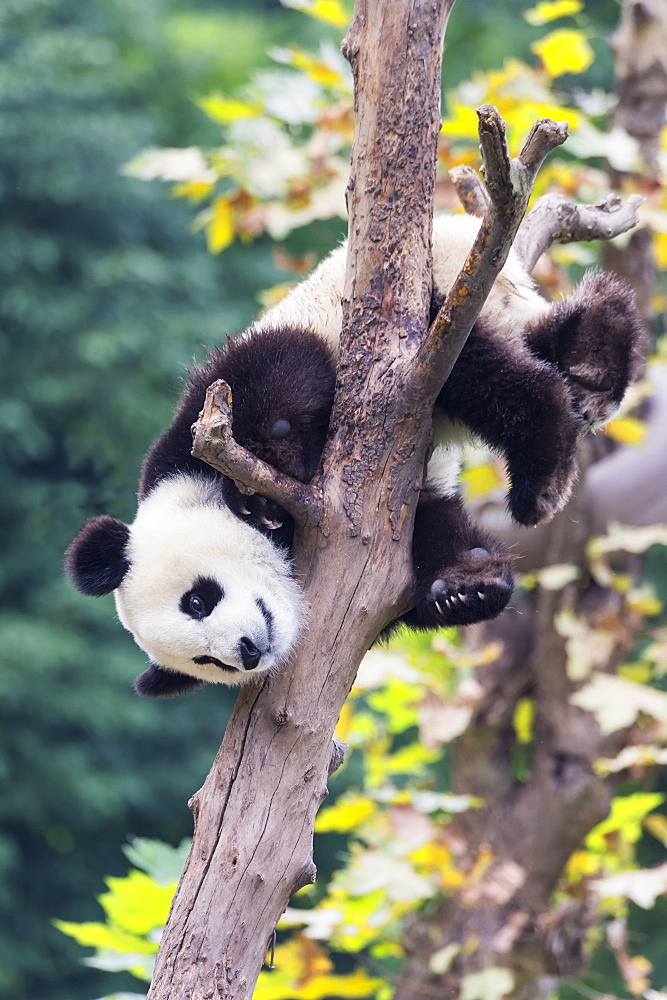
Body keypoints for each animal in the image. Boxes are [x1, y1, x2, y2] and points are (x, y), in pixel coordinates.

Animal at [66, 213, 640, 696]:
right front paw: (467, 584)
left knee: (480, 375)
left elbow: (278, 383)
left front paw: (263, 490)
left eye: (197, 600)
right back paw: (596, 352)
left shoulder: (218, 404)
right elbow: (429, 542)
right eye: (206, 662)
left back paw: (543, 470)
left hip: (428, 320)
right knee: (540, 339)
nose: (248, 651)